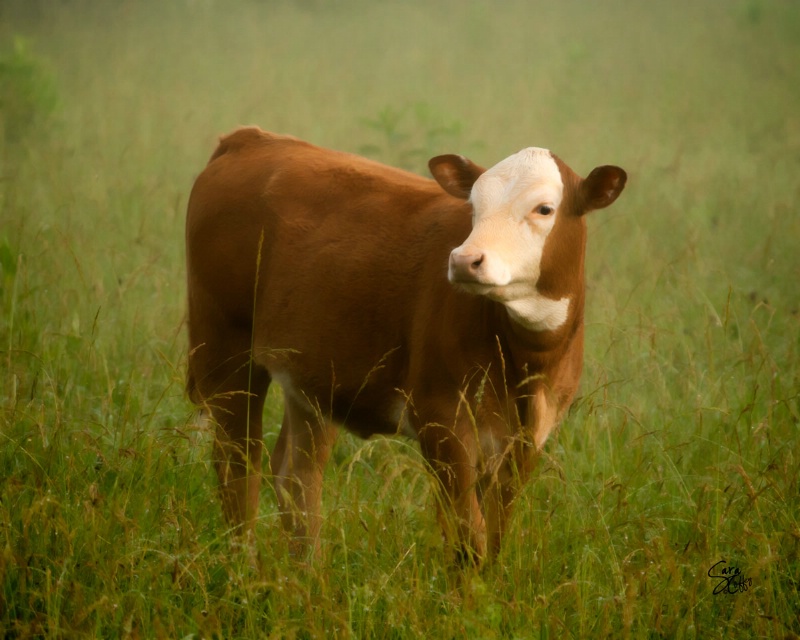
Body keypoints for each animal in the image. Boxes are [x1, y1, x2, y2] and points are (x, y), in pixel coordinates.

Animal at [184, 127, 628, 564]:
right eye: (473, 207)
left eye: (544, 209)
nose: (464, 260)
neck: (524, 362)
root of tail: (251, 138)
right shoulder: (441, 418)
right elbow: (469, 539)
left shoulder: (528, 438)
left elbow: (496, 537)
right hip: (225, 348)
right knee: (237, 465)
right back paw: (247, 571)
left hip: (313, 377)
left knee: (296, 477)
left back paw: (307, 577)